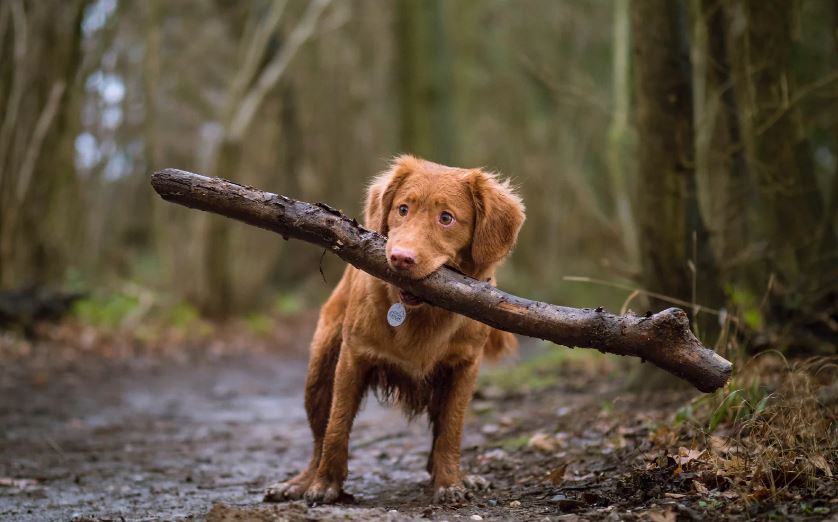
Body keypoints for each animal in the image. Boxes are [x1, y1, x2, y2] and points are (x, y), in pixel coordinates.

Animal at [264, 155, 524, 504]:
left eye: (446, 218)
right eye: (403, 209)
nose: (400, 258)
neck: (422, 313)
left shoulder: (464, 367)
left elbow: (451, 430)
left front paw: (450, 482)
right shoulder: (353, 357)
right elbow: (337, 426)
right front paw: (326, 485)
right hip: (319, 371)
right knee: (319, 436)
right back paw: (301, 482)